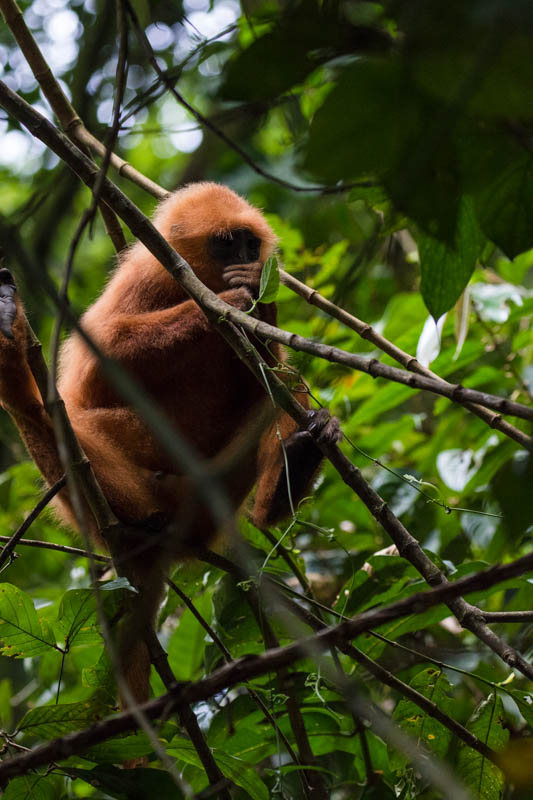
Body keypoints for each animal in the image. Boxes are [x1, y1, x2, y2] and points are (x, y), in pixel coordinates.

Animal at [0, 183, 338, 708]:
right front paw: (226, 299)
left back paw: (292, 470)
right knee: (63, 418)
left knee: (286, 386)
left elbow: (267, 372)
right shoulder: (146, 277)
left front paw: (257, 303)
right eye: (226, 244)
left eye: (249, 243)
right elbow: (102, 358)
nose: (247, 259)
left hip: (219, 490)